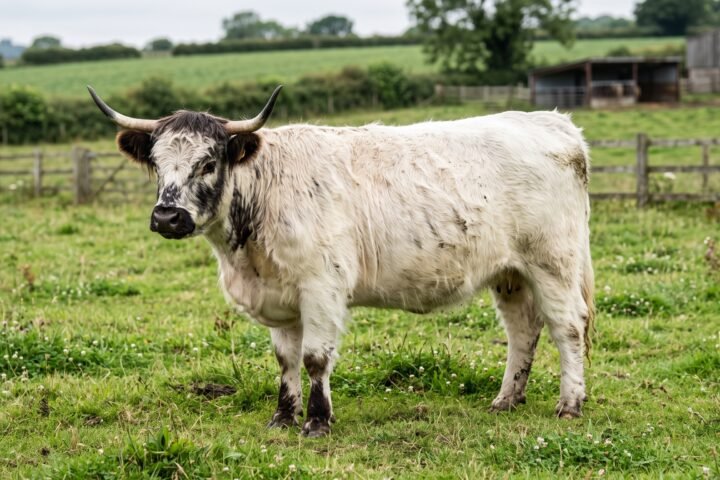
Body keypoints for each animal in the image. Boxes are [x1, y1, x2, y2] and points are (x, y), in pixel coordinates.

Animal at [88, 85, 594, 437]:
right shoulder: (280, 295)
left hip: (553, 263)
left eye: (209, 162)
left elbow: (315, 358)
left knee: (567, 327)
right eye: (156, 163)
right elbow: (286, 360)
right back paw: (506, 399)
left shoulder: (321, 288)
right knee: (523, 330)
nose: (167, 217)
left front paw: (317, 421)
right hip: (510, 273)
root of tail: (554, 124)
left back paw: (570, 404)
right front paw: (282, 417)